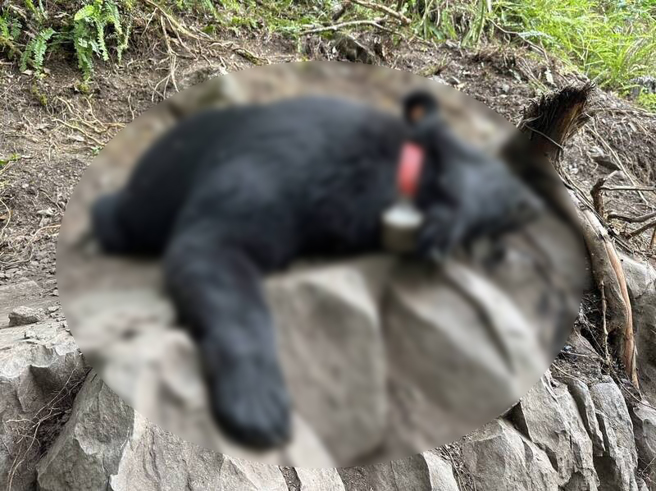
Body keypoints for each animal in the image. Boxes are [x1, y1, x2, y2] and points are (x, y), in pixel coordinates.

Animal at [92, 90, 544, 449]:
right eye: (512, 200)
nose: (536, 205)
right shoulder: (285, 168)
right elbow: (213, 247)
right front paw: (261, 410)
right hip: (150, 198)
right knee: (124, 218)